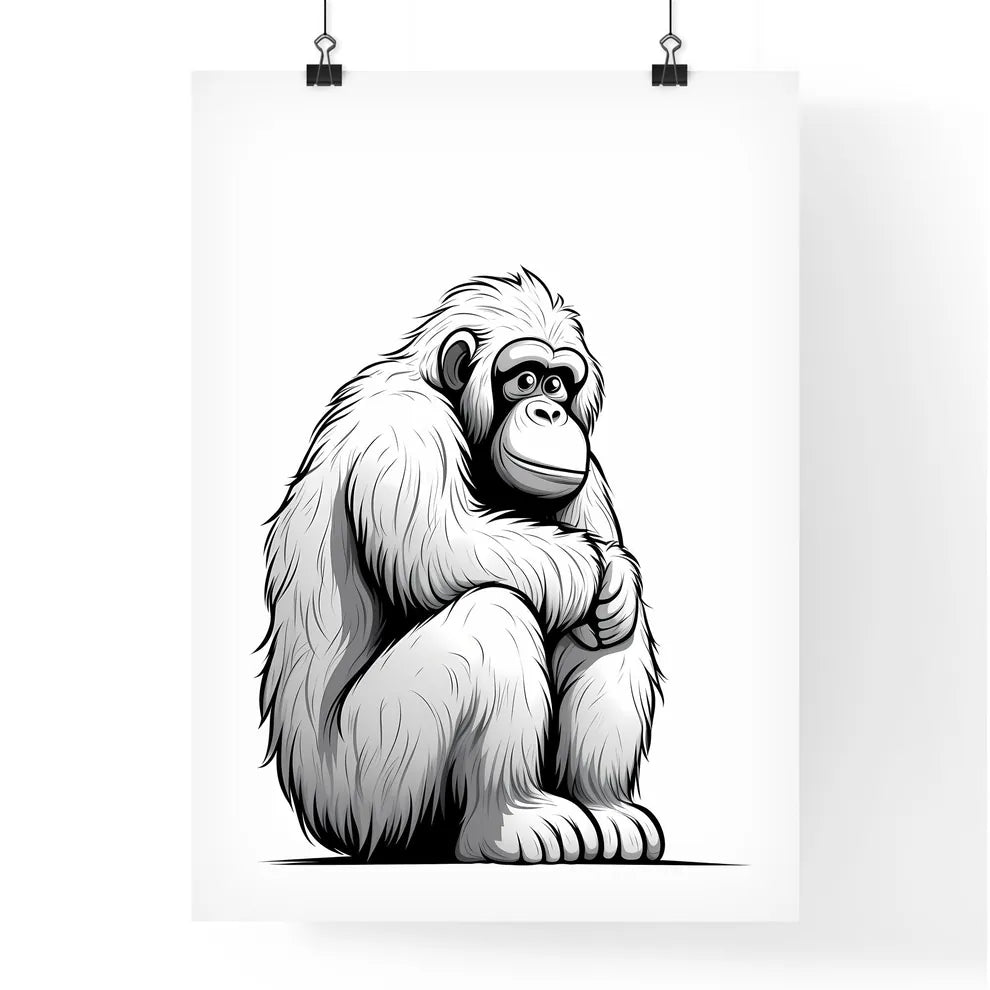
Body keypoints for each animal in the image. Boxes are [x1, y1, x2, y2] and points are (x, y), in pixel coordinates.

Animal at [259, 269, 663, 863]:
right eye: (524, 379)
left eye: (558, 383)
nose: (550, 412)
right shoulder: (403, 428)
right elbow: (440, 545)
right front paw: (597, 568)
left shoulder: (585, 468)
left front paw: (621, 579)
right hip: (371, 776)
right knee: (491, 618)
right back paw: (515, 818)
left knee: (611, 634)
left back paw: (606, 808)